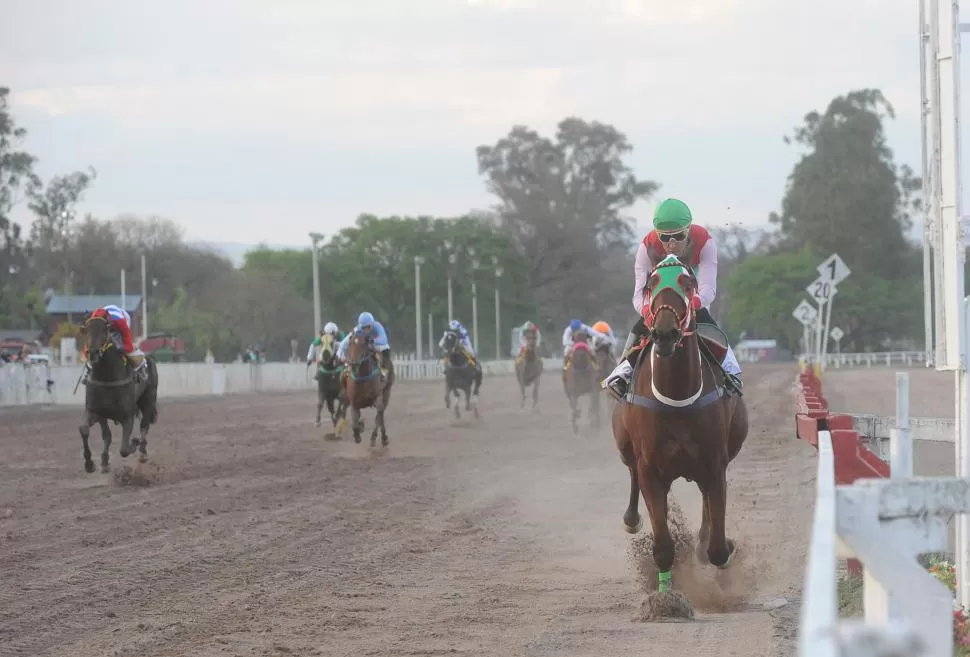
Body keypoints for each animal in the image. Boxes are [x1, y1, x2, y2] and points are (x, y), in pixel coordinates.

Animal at [77, 314, 159, 472]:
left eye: (104, 331)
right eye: (87, 331)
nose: (93, 353)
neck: (107, 377)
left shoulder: (128, 416)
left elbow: (124, 449)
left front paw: (134, 442)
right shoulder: (96, 411)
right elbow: (87, 430)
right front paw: (92, 463)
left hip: (148, 400)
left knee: (144, 425)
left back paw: (142, 452)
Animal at [612, 255, 748, 596]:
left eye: (688, 284)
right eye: (650, 284)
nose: (665, 333)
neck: (677, 396)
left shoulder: (714, 464)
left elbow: (717, 548)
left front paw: (720, 548)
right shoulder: (650, 469)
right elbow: (662, 547)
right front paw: (665, 597)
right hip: (625, 445)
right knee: (631, 472)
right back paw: (632, 519)